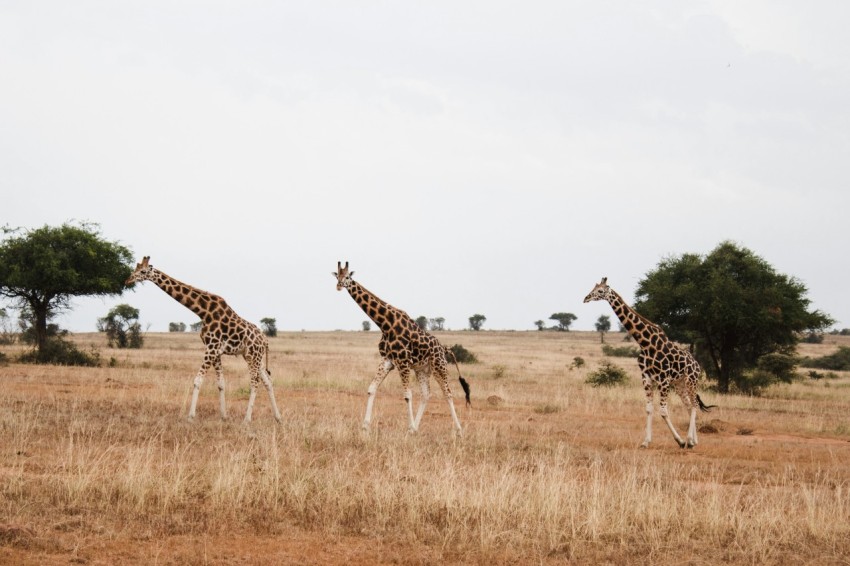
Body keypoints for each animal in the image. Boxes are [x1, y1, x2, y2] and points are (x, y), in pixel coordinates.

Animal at [125, 256, 282, 423]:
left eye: (143, 271)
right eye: (135, 268)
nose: (127, 280)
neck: (203, 312)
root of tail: (265, 340)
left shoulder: (211, 348)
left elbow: (197, 381)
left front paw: (190, 416)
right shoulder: (215, 351)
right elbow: (221, 383)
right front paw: (224, 416)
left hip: (254, 355)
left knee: (255, 382)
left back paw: (247, 419)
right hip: (251, 356)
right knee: (267, 381)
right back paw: (278, 417)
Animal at [332, 262, 470, 435]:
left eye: (348, 277)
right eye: (337, 275)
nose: (339, 285)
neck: (385, 324)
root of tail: (444, 348)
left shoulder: (403, 361)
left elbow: (407, 395)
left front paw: (408, 426)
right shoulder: (387, 360)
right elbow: (372, 389)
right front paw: (365, 426)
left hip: (439, 366)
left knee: (448, 393)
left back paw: (458, 431)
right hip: (422, 370)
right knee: (426, 394)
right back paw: (416, 429)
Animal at [583, 277, 715, 448]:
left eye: (600, 290)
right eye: (593, 287)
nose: (585, 298)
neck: (645, 344)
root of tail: (697, 365)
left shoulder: (663, 379)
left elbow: (663, 411)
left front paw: (679, 441)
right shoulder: (646, 377)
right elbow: (649, 409)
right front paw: (646, 442)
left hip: (691, 380)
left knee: (694, 405)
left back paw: (689, 440)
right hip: (679, 384)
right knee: (689, 405)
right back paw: (694, 440)